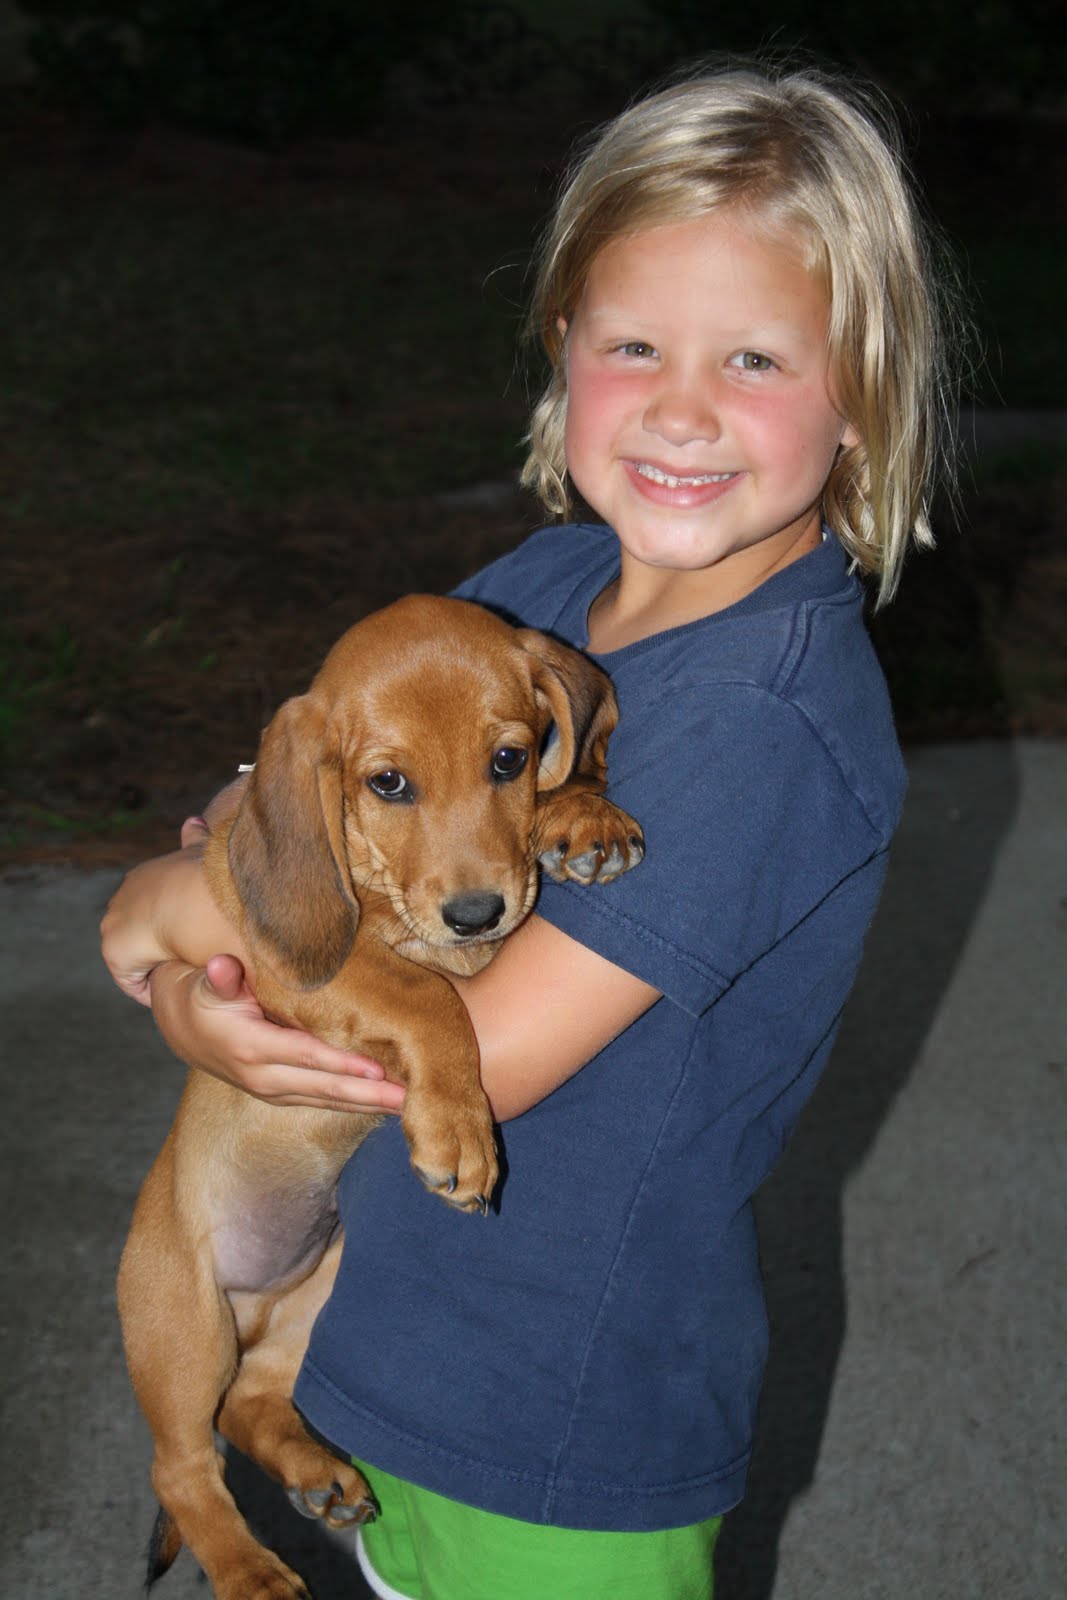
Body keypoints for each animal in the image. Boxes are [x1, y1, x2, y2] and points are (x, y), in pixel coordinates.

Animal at [117, 594, 644, 1599]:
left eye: (508, 760)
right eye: (388, 783)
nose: (476, 915)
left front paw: (582, 811)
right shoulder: (320, 967)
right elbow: (425, 998)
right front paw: (459, 1135)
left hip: (314, 1294)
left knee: (250, 1402)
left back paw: (316, 1476)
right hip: (184, 1325)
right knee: (178, 1467)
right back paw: (249, 1571)